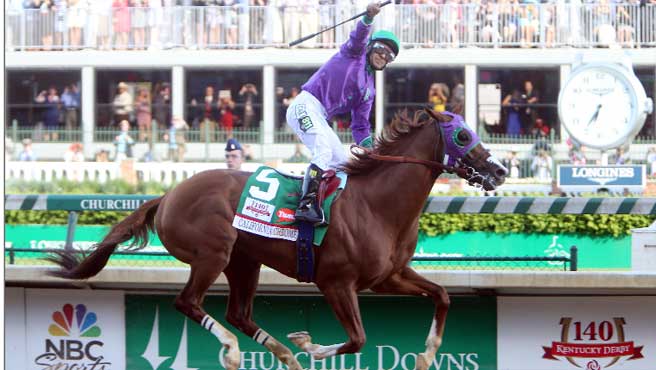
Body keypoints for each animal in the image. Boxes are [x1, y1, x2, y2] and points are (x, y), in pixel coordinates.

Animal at [48, 109, 508, 370]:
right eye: (463, 136)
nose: (501, 170)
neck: (377, 203)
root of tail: (168, 196)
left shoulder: (388, 277)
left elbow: (442, 296)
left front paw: (426, 354)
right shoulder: (336, 282)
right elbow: (358, 339)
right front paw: (309, 345)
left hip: (244, 261)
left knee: (238, 313)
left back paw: (282, 354)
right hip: (213, 253)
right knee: (188, 302)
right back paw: (237, 351)